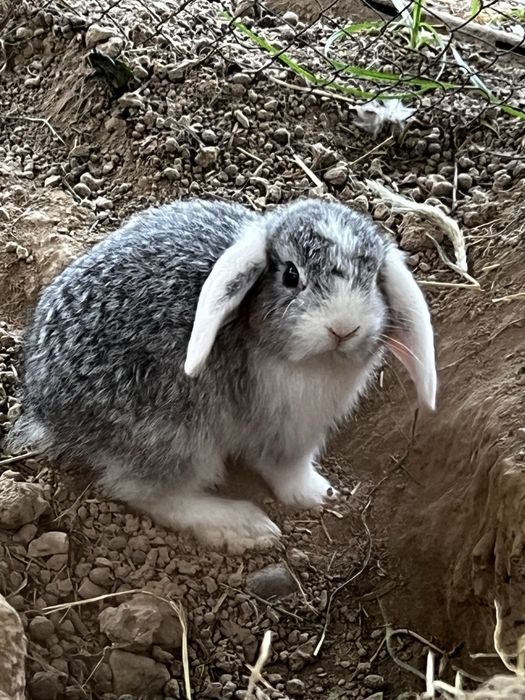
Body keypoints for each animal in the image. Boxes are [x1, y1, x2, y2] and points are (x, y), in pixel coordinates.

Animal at [8, 197, 436, 551]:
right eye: (291, 275)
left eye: (373, 277)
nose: (344, 328)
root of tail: (48, 410)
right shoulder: (288, 433)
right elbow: (286, 469)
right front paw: (310, 495)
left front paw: (321, 496)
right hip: (176, 437)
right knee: (144, 492)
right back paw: (243, 526)